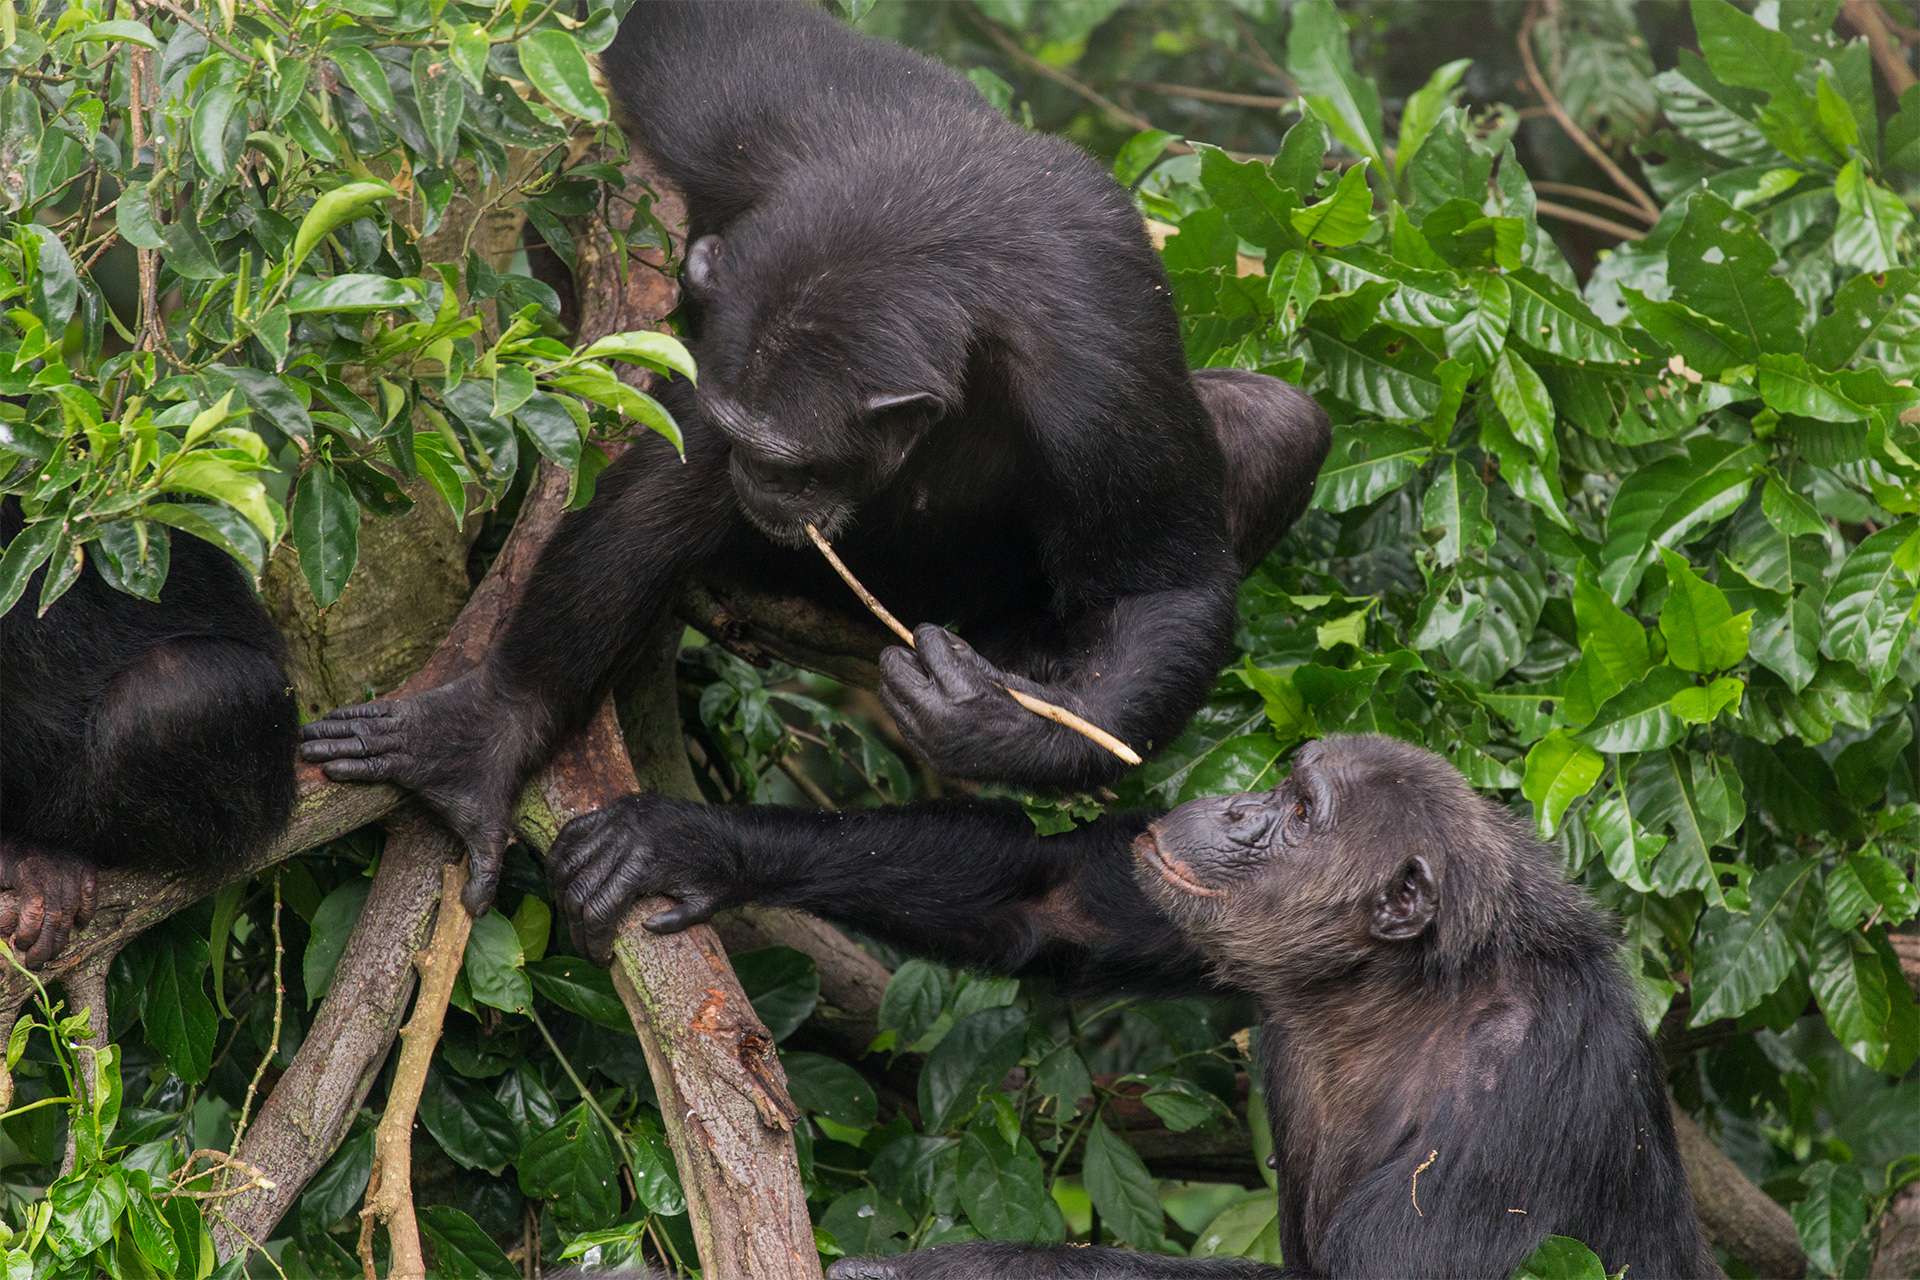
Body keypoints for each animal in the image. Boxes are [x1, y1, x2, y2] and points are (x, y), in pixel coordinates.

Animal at [299, 0, 1328, 921]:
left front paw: (997, 730)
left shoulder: (1098, 355)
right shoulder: (754, 137)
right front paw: (491, 732)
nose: (757, 480)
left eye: (792, 463)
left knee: (1277, 421)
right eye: (756, 447)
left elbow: (1162, 584)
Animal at [549, 729, 1720, 1280]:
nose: (1238, 802)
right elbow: (1059, 900)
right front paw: (689, 840)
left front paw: (914, 1269)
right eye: (1289, 784)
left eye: (1302, 813)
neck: (1390, 987)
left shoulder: (1515, 1087)